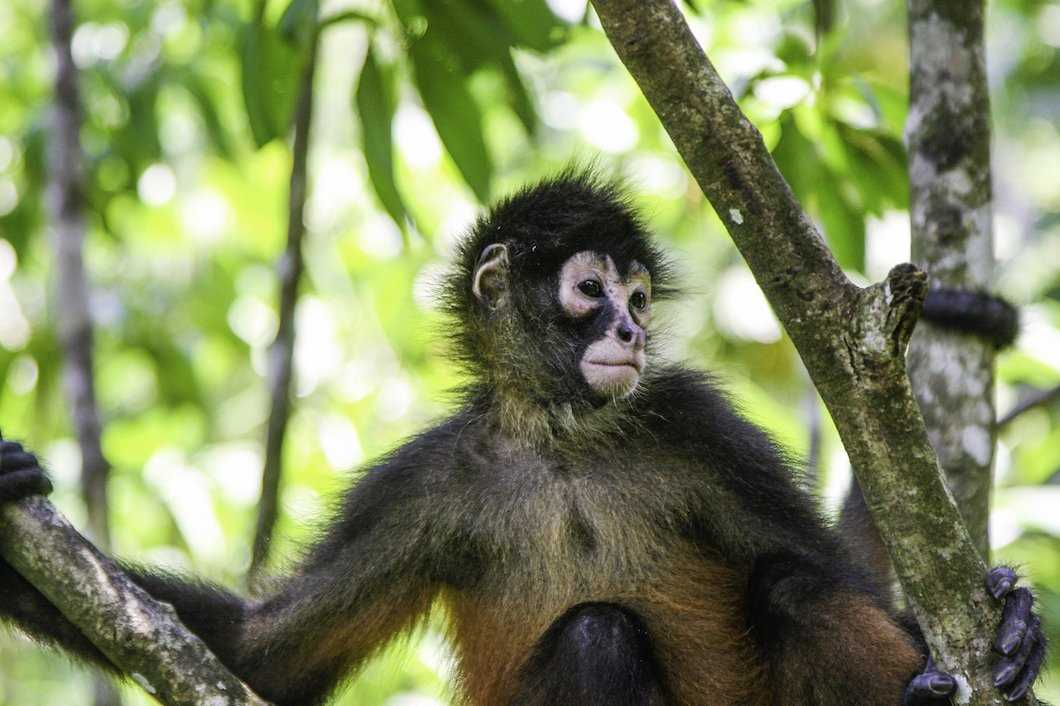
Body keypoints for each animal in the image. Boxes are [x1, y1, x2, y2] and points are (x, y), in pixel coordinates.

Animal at [0, 171, 1047, 703]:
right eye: (591, 291)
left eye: (638, 302)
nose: (629, 333)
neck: (559, 444)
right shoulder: (420, 485)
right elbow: (265, 657)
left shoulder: (694, 426)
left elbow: (844, 575)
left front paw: (1015, 626)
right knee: (597, 635)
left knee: (792, 586)